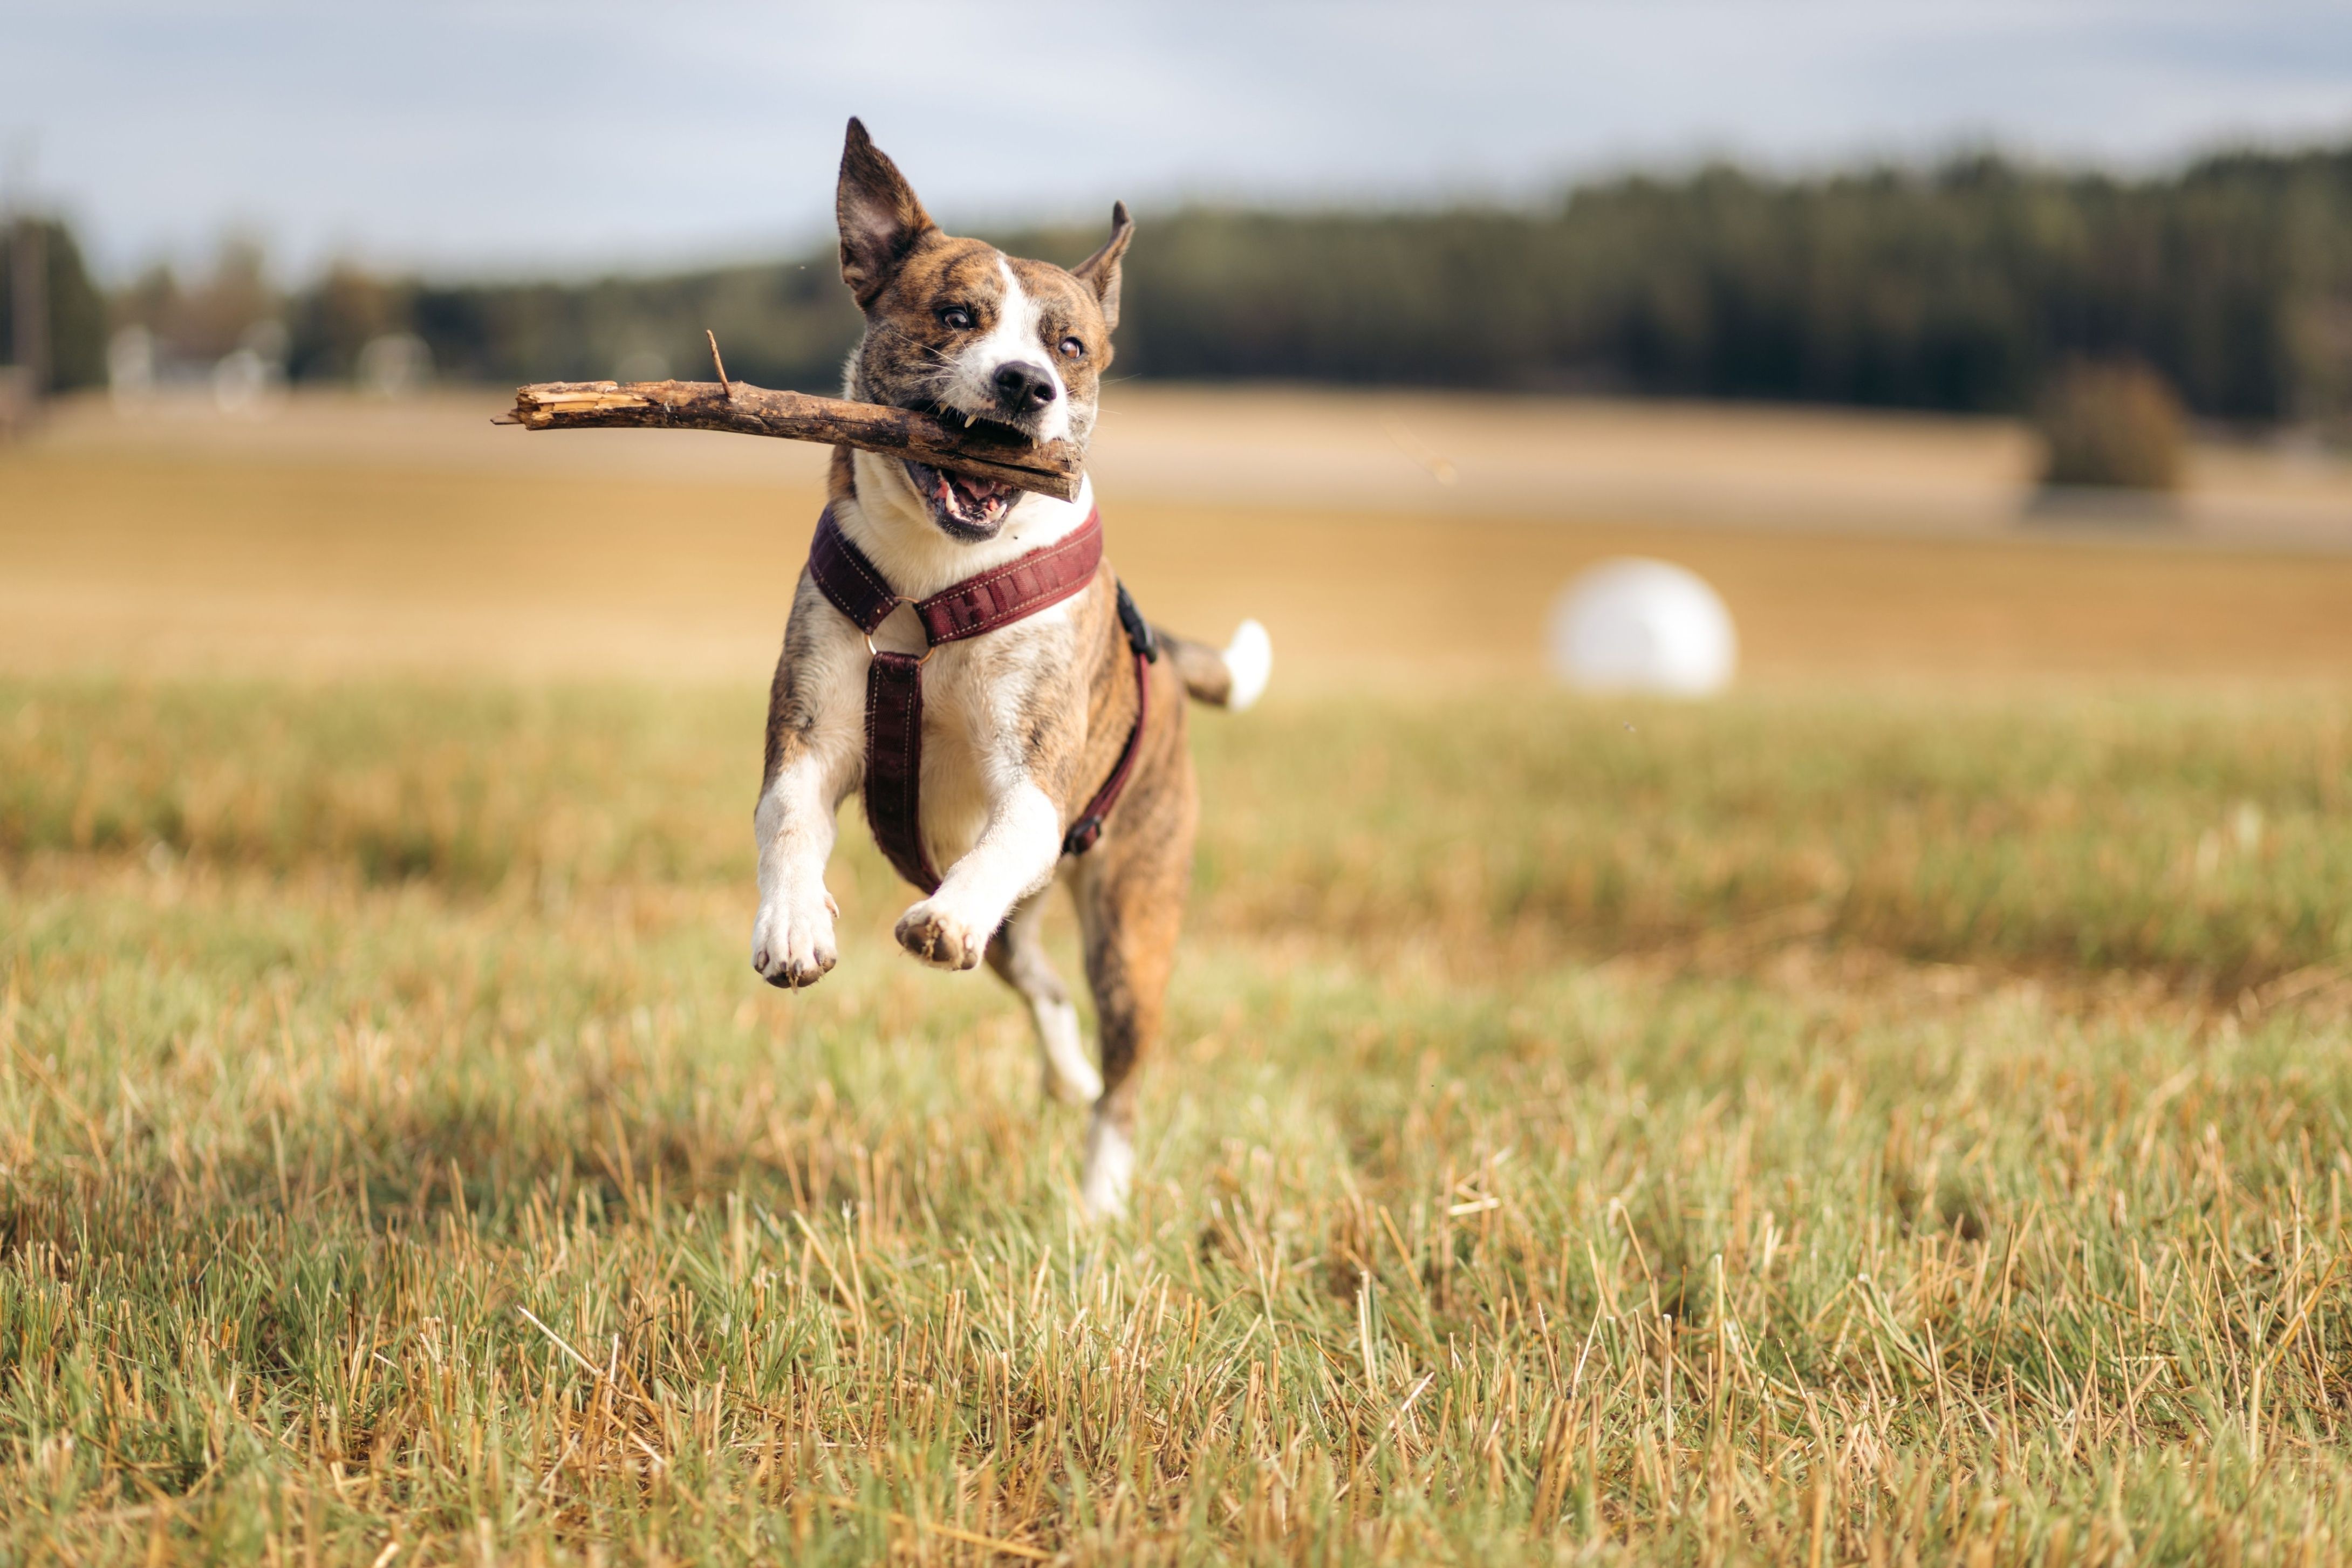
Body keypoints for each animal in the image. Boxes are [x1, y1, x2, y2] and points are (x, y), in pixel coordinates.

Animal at [748, 120, 1270, 1222]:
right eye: (956, 316)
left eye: (1069, 348)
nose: (1027, 384)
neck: (937, 578)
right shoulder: (810, 731)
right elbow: (791, 817)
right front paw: (795, 924)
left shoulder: (1032, 781)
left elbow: (997, 850)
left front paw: (942, 921)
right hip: (1030, 916)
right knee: (1040, 982)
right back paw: (1063, 1070)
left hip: (1132, 917)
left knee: (1119, 1070)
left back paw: (1099, 1202)